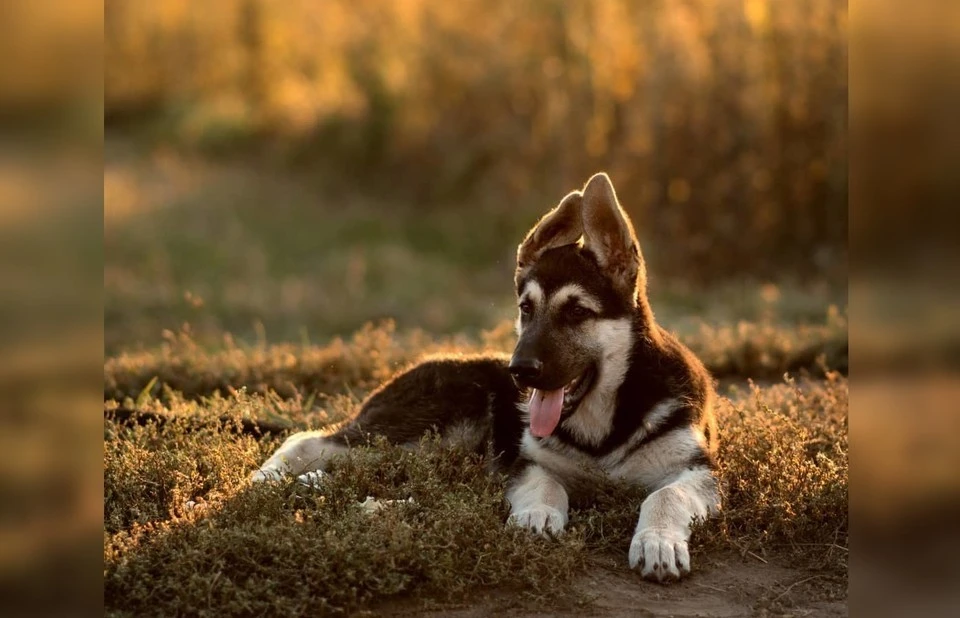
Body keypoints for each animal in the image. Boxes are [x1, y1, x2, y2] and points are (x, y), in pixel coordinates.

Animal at [251, 172, 716, 576]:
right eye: (526, 309)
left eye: (578, 312)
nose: (519, 372)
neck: (603, 425)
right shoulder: (526, 462)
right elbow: (547, 485)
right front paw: (537, 515)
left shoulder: (699, 472)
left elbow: (666, 495)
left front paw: (657, 542)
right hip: (420, 433)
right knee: (307, 440)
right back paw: (267, 479)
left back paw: (317, 485)